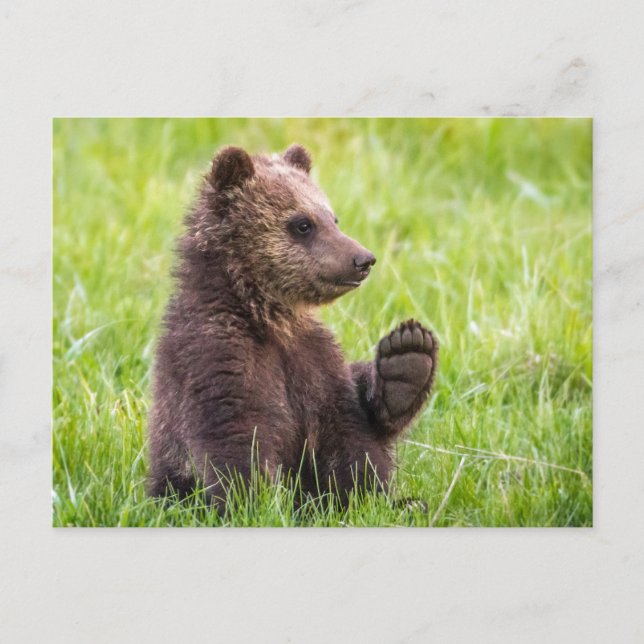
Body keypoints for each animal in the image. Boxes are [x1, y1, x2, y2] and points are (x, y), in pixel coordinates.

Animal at [147, 144, 438, 510]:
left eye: (333, 218)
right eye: (302, 224)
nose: (363, 259)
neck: (269, 317)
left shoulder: (314, 360)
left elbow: (350, 435)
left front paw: (408, 358)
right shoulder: (217, 354)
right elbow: (237, 433)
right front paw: (254, 500)